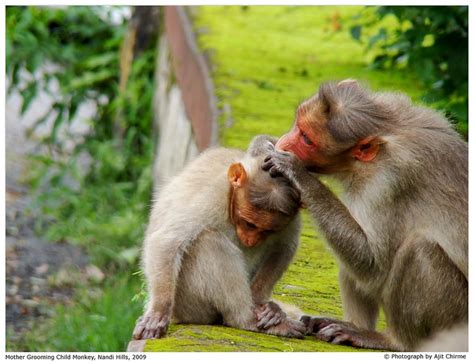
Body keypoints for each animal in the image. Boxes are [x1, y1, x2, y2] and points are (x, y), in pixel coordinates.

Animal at [132, 134, 308, 342]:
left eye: (267, 230)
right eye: (249, 223)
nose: (250, 240)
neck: (231, 197)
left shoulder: (292, 217)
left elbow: (284, 247)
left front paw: (261, 303)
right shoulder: (210, 196)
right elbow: (167, 241)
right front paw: (158, 312)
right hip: (188, 304)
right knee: (208, 242)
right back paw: (244, 318)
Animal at [262, 80, 468, 352]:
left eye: (306, 139)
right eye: (298, 125)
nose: (284, 142)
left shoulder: (391, 180)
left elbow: (373, 262)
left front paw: (297, 174)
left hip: (456, 318)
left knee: (418, 248)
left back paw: (391, 340)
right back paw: (353, 325)